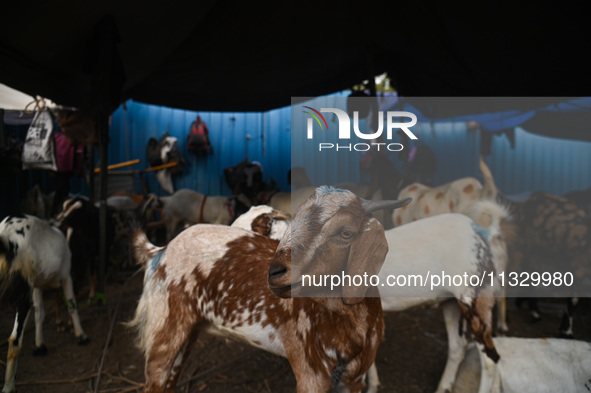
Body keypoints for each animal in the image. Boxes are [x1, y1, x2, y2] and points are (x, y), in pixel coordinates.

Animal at [0, 214, 88, 392]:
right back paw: (9, 387)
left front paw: (40, 345)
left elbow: (39, 314)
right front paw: (81, 335)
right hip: (22, 295)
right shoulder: (66, 276)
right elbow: (72, 305)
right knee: (14, 340)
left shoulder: (37, 285)